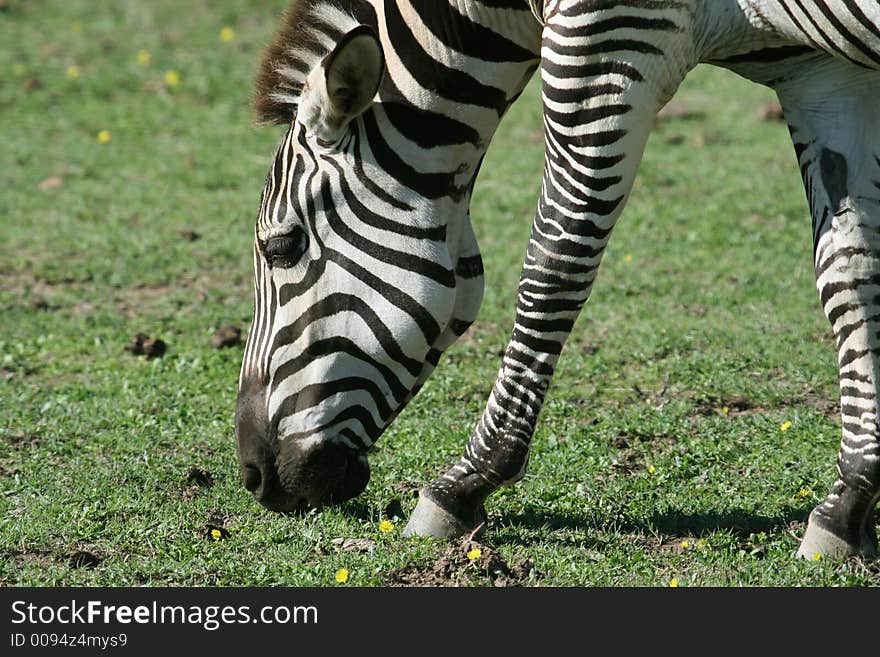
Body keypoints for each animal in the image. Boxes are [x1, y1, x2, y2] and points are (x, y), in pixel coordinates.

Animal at [235, 0, 880, 560]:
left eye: (280, 247)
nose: (252, 475)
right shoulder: (826, 77)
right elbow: (850, 270)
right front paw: (847, 507)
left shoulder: (604, 44)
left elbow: (556, 260)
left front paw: (462, 486)